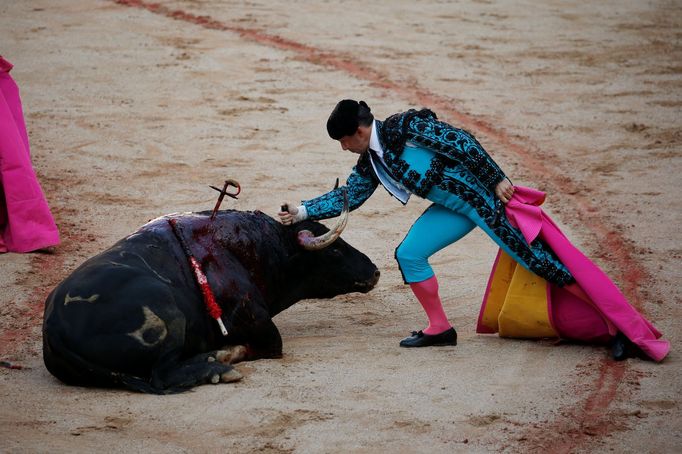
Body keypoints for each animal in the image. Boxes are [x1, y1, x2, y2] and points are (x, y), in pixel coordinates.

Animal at [43, 198, 378, 394]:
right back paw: (216, 367)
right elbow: (271, 345)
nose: (374, 271)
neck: (252, 249)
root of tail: (54, 328)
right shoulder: (257, 321)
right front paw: (223, 354)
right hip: (168, 315)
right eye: (335, 250)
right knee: (161, 375)